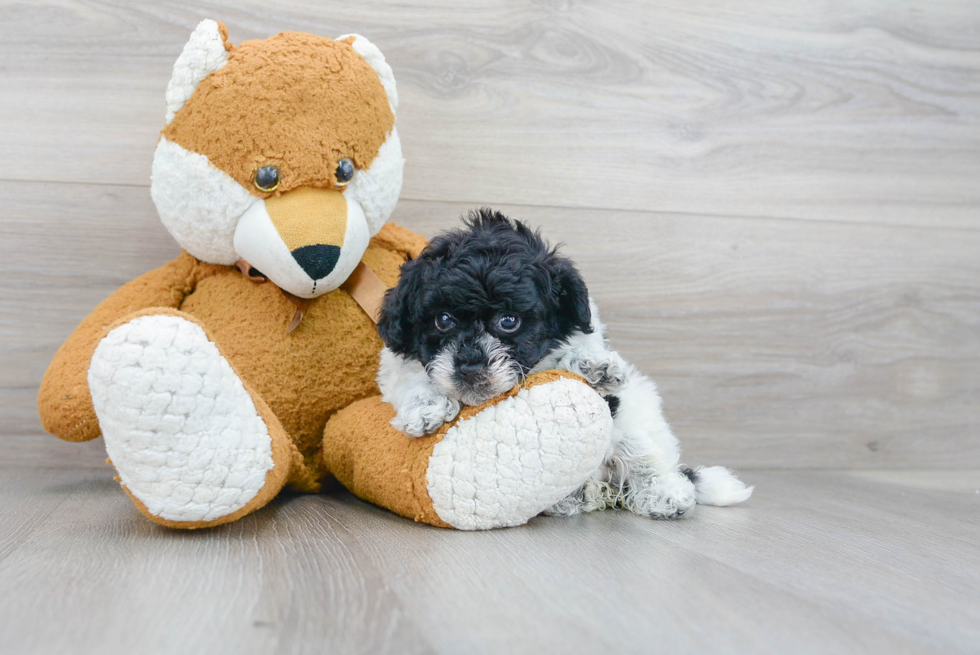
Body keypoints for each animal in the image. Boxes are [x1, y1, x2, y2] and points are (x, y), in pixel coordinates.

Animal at [374, 209, 752, 516]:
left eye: (509, 321)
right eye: (443, 320)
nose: (469, 366)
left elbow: (579, 350)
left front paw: (593, 365)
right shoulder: (396, 363)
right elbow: (413, 375)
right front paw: (427, 407)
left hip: (637, 420)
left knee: (646, 456)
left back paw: (663, 493)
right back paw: (576, 497)